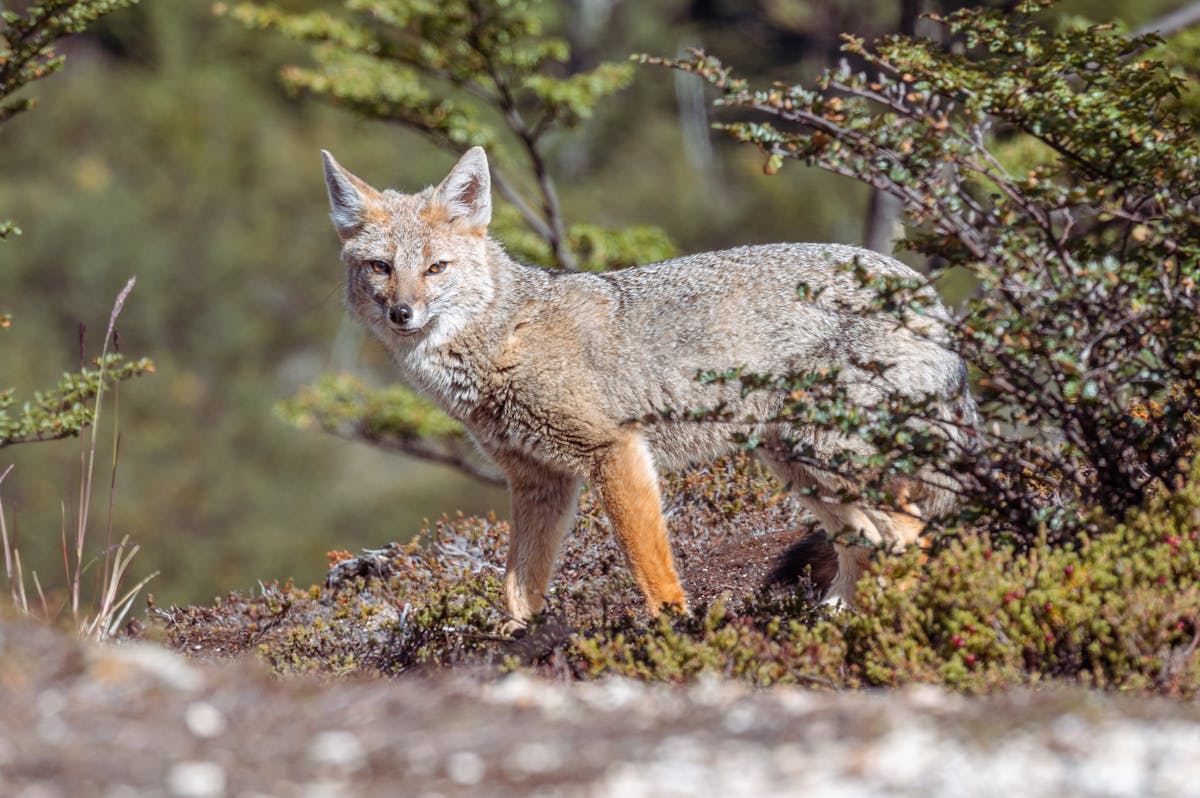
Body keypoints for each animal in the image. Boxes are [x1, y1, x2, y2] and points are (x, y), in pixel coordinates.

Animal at [320, 146, 978, 623]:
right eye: (381, 268)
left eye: (436, 268)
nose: (402, 314)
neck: (506, 337)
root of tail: (921, 289)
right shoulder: (539, 482)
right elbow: (519, 586)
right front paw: (516, 643)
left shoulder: (614, 452)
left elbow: (648, 565)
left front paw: (673, 631)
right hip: (800, 468)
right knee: (866, 540)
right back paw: (839, 618)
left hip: (828, 458)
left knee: (911, 535)